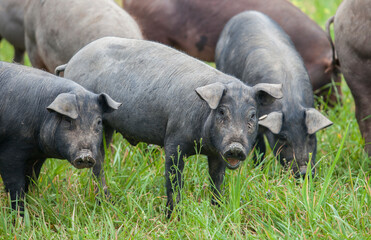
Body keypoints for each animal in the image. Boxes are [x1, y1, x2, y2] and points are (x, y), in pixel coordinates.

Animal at [0, 62, 120, 212]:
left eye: (99, 122)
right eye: (68, 120)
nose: (86, 155)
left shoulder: (37, 157)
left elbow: (32, 178)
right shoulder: (10, 151)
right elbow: (16, 184)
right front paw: (20, 214)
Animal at [215, 10, 334, 176]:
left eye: (310, 135)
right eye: (282, 137)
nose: (303, 172)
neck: (290, 103)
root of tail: (246, 13)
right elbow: (259, 147)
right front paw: (258, 170)